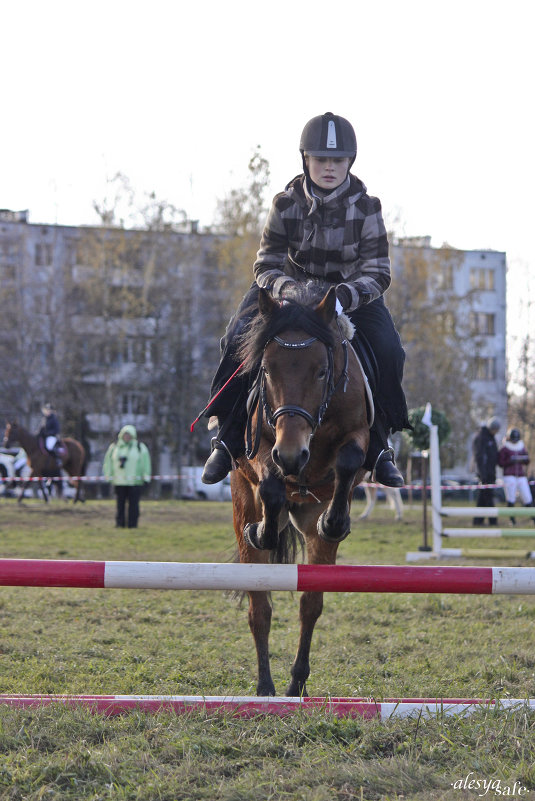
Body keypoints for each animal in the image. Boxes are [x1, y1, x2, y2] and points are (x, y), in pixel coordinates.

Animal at [232, 286, 370, 692]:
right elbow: (271, 485)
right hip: (242, 505)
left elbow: (349, 459)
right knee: (259, 608)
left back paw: (296, 687)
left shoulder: (360, 434)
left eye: (322, 370)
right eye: (265, 369)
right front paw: (262, 530)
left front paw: (335, 522)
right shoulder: (260, 446)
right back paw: (265, 689)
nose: (292, 456)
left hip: (310, 525)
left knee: (310, 604)